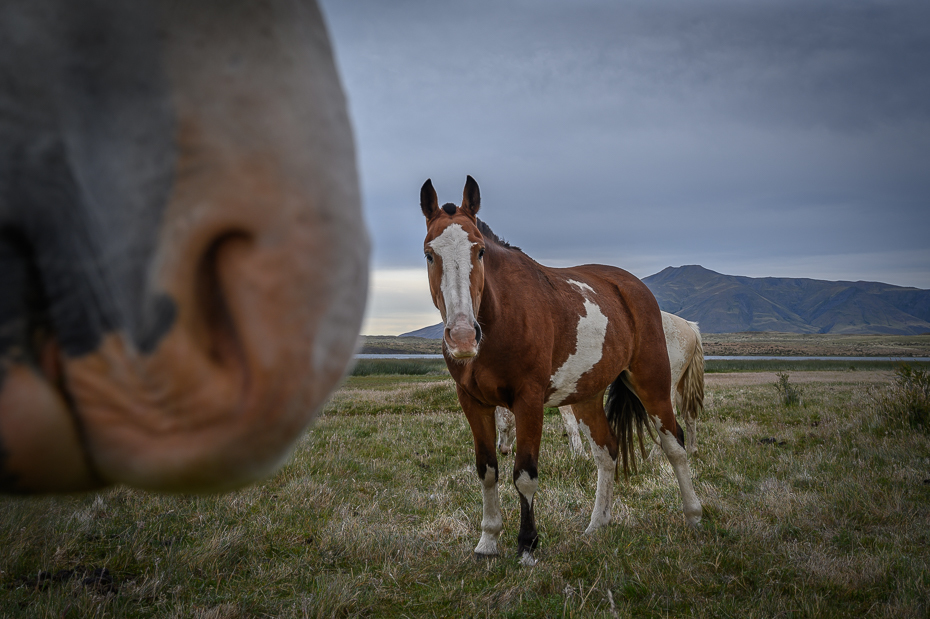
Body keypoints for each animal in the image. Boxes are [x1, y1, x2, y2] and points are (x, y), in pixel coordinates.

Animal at [492, 312, 704, 458]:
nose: (502, 449)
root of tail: (687, 325)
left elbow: (570, 424)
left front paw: (579, 455)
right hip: (680, 386)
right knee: (689, 416)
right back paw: (692, 449)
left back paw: (655, 455)